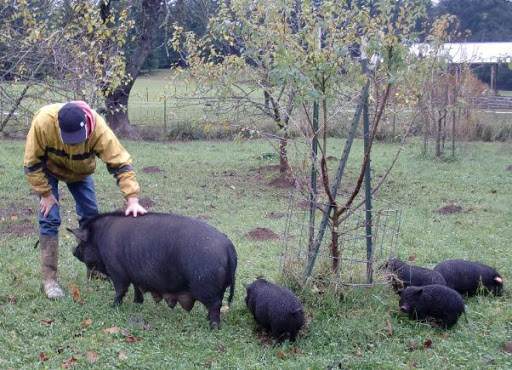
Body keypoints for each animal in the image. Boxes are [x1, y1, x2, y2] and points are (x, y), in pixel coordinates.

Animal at [67, 211, 237, 330]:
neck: (100, 238)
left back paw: (213, 328)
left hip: (205, 284)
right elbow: (136, 287)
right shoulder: (134, 274)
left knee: (215, 306)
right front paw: (137, 302)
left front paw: (112, 306)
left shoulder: (117, 270)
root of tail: (228, 247)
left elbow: (120, 290)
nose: (73, 251)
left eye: (82, 242)